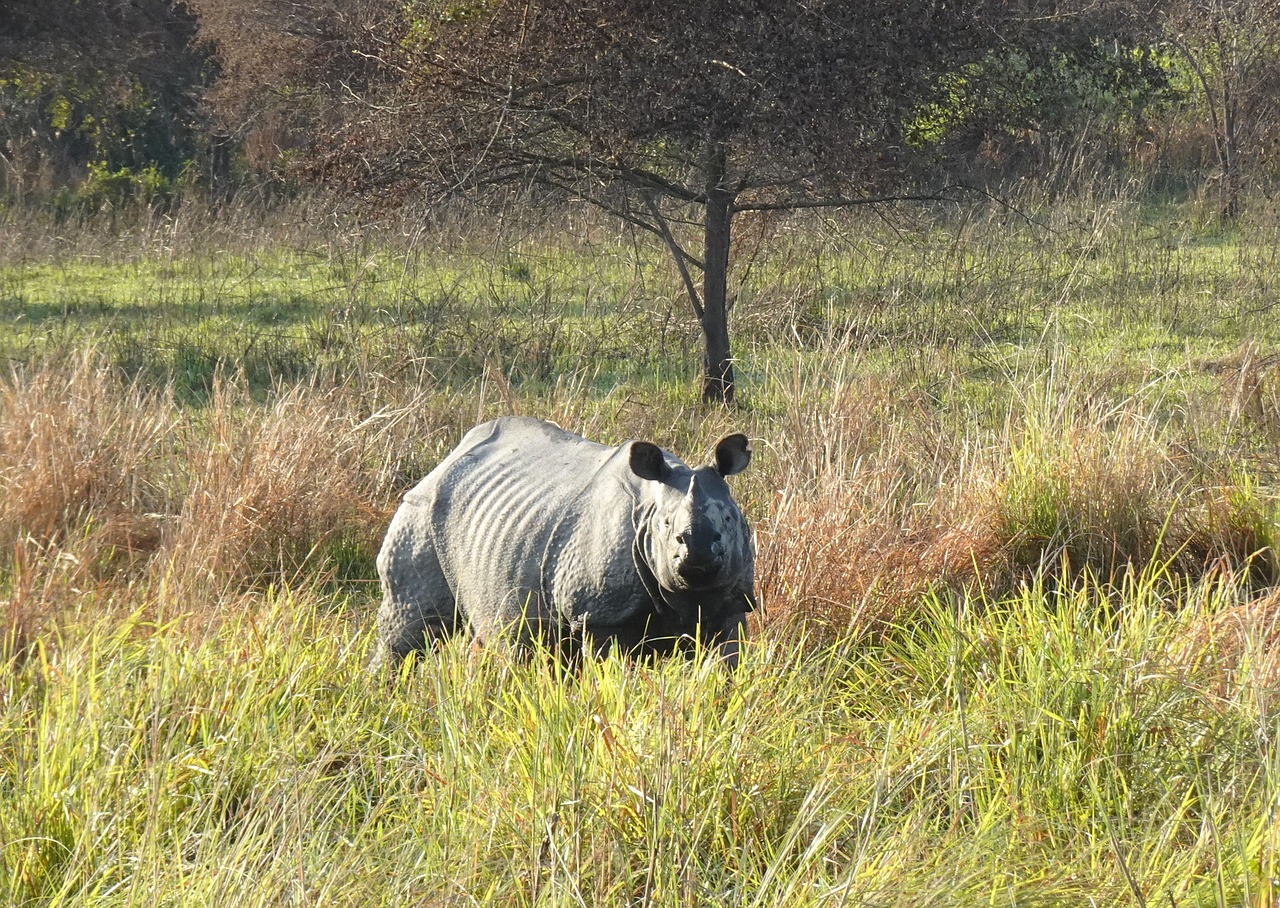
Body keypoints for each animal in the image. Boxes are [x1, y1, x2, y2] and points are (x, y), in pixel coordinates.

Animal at [374, 416, 756, 669]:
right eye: (665, 527)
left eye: (728, 522)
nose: (698, 557)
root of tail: (447, 459)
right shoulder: (599, 615)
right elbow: (613, 673)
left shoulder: (734, 603)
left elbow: (726, 666)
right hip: (419, 512)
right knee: (410, 625)